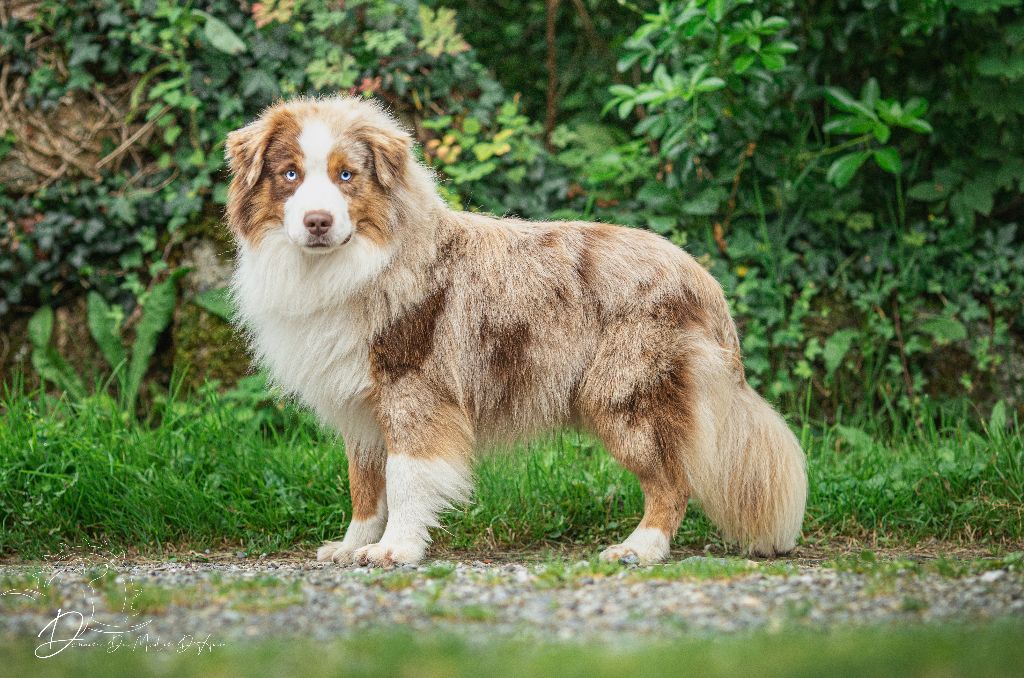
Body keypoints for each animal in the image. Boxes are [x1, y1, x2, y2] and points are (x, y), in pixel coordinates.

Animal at [224, 95, 806, 569]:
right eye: (290, 175)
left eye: (346, 176)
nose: (318, 222)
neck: (349, 267)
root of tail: (704, 278)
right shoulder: (361, 408)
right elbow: (365, 486)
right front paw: (351, 545)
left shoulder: (414, 391)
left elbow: (406, 478)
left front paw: (396, 550)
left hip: (622, 395)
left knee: (673, 481)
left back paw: (639, 548)